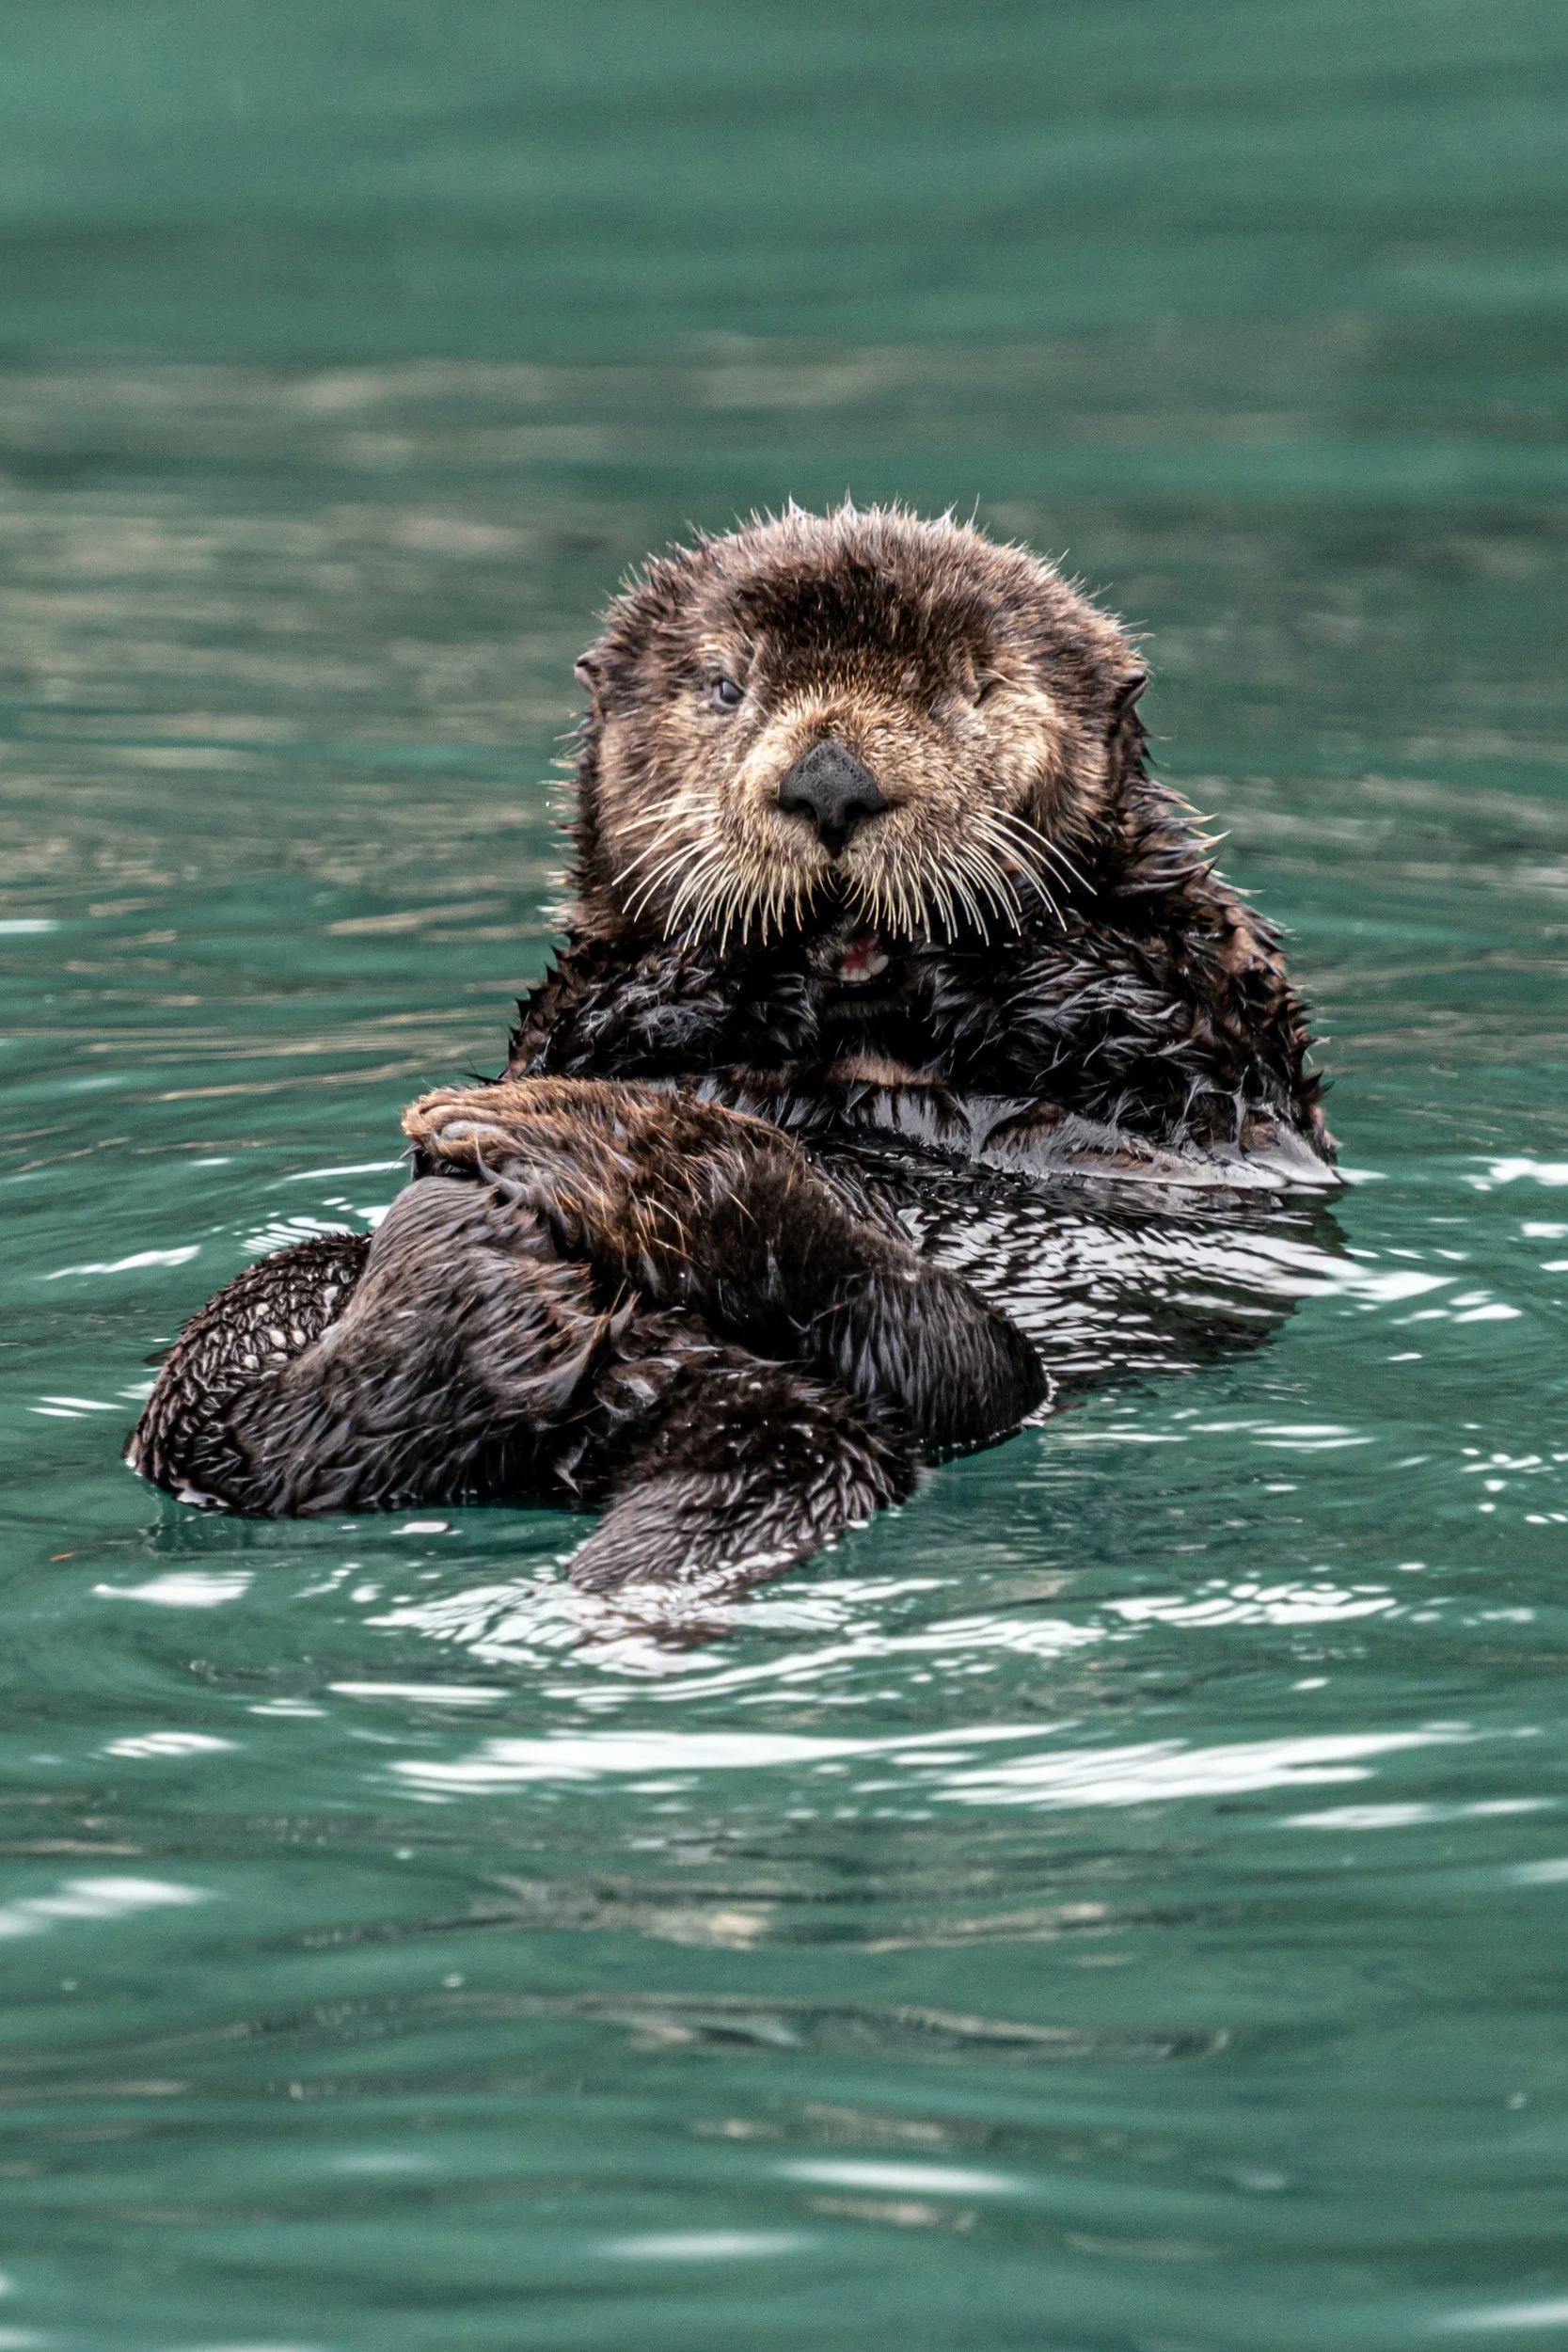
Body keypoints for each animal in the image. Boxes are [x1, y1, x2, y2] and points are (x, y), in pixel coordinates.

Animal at [129, 505, 1336, 1591]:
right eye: (722, 686)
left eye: (971, 687)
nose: (830, 781)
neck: (862, 1026)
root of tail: (648, 1375)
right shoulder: (573, 1008)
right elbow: (611, 1004)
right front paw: (720, 972)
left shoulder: (1221, 1035)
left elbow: (1135, 1010)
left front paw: (985, 953)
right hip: (253, 1341)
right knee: (264, 1425)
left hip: (971, 1372)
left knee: (943, 1347)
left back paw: (604, 1155)